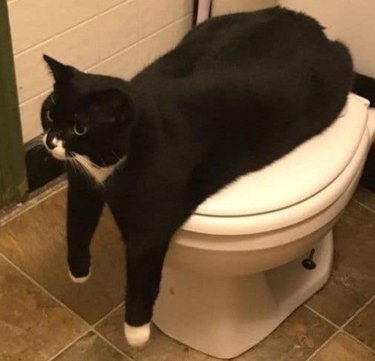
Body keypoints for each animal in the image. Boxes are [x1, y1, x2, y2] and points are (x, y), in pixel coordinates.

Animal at [40, 7, 368, 346]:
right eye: (50, 112)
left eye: (80, 128)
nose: (50, 141)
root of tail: (312, 26)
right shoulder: (82, 183)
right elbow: (77, 223)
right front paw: (79, 272)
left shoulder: (151, 224)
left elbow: (143, 271)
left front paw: (136, 331)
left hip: (338, 72)